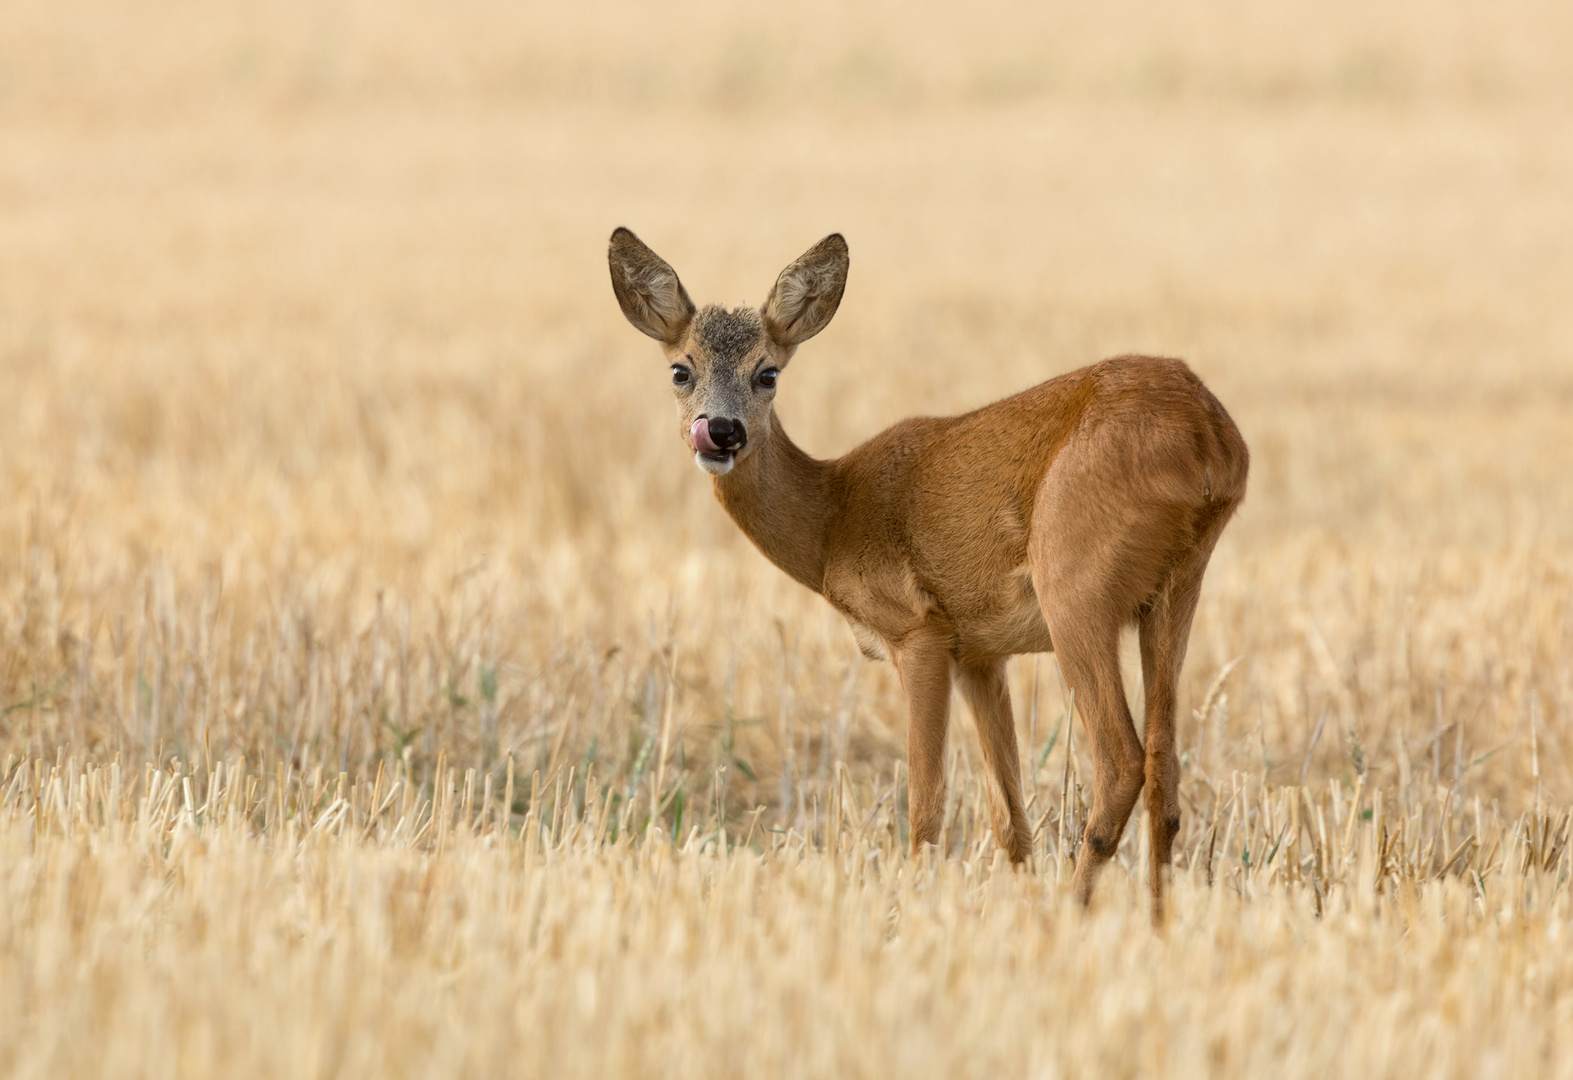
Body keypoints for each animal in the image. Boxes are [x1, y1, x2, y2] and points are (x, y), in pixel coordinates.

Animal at [607, 227, 1245, 911]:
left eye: (767, 373)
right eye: (681, 370)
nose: (721, 431)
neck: (833, 520)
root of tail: (1213, 439)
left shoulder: (920, 630)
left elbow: (927, 809)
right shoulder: (979, 653)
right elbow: (1010, 819)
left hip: (1074, 584)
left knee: (1122, 759)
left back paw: (1075, 911)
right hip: (1175, 590)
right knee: (1164, 772)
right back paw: (1157, 921)